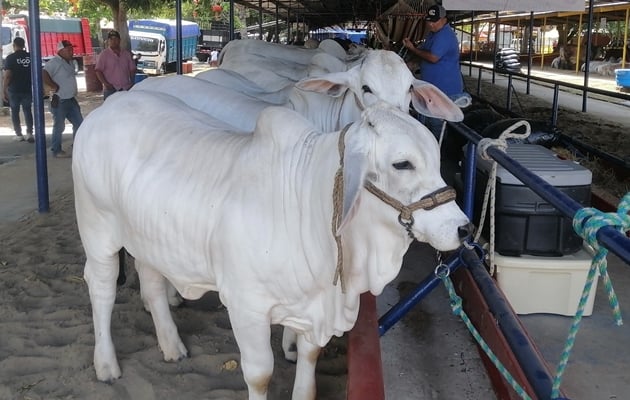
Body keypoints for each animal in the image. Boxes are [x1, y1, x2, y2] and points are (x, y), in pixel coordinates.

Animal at [73, 91, 470, 400]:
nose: (463, 229)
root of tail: (109, 105)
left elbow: (309, 360)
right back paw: (106, 364)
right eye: (402, 164)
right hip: (98, 229)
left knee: (152, 283)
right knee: (102, 288)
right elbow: (260, 373)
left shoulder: (314, 308)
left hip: (147, 237)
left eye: (436, 159)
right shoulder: (246, 307)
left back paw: (172, 347)